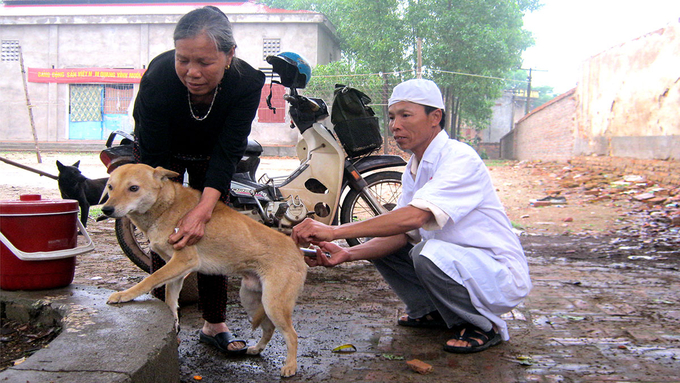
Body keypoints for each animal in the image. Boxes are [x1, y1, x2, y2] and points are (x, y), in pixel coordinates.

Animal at [99, 163, 306, 378]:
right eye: (110, 187)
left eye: (133, 188)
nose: (106, 209)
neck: (166, 206)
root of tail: (298, 251)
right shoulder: (176, 269)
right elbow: (170, 298)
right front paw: (174, 322)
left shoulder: (183, 261)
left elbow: (150, 280)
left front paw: (124, 295)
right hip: (251, 298)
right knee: (269, 328)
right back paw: (257, 348)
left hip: (273, 304)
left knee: (292, 335)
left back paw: (290, 365)